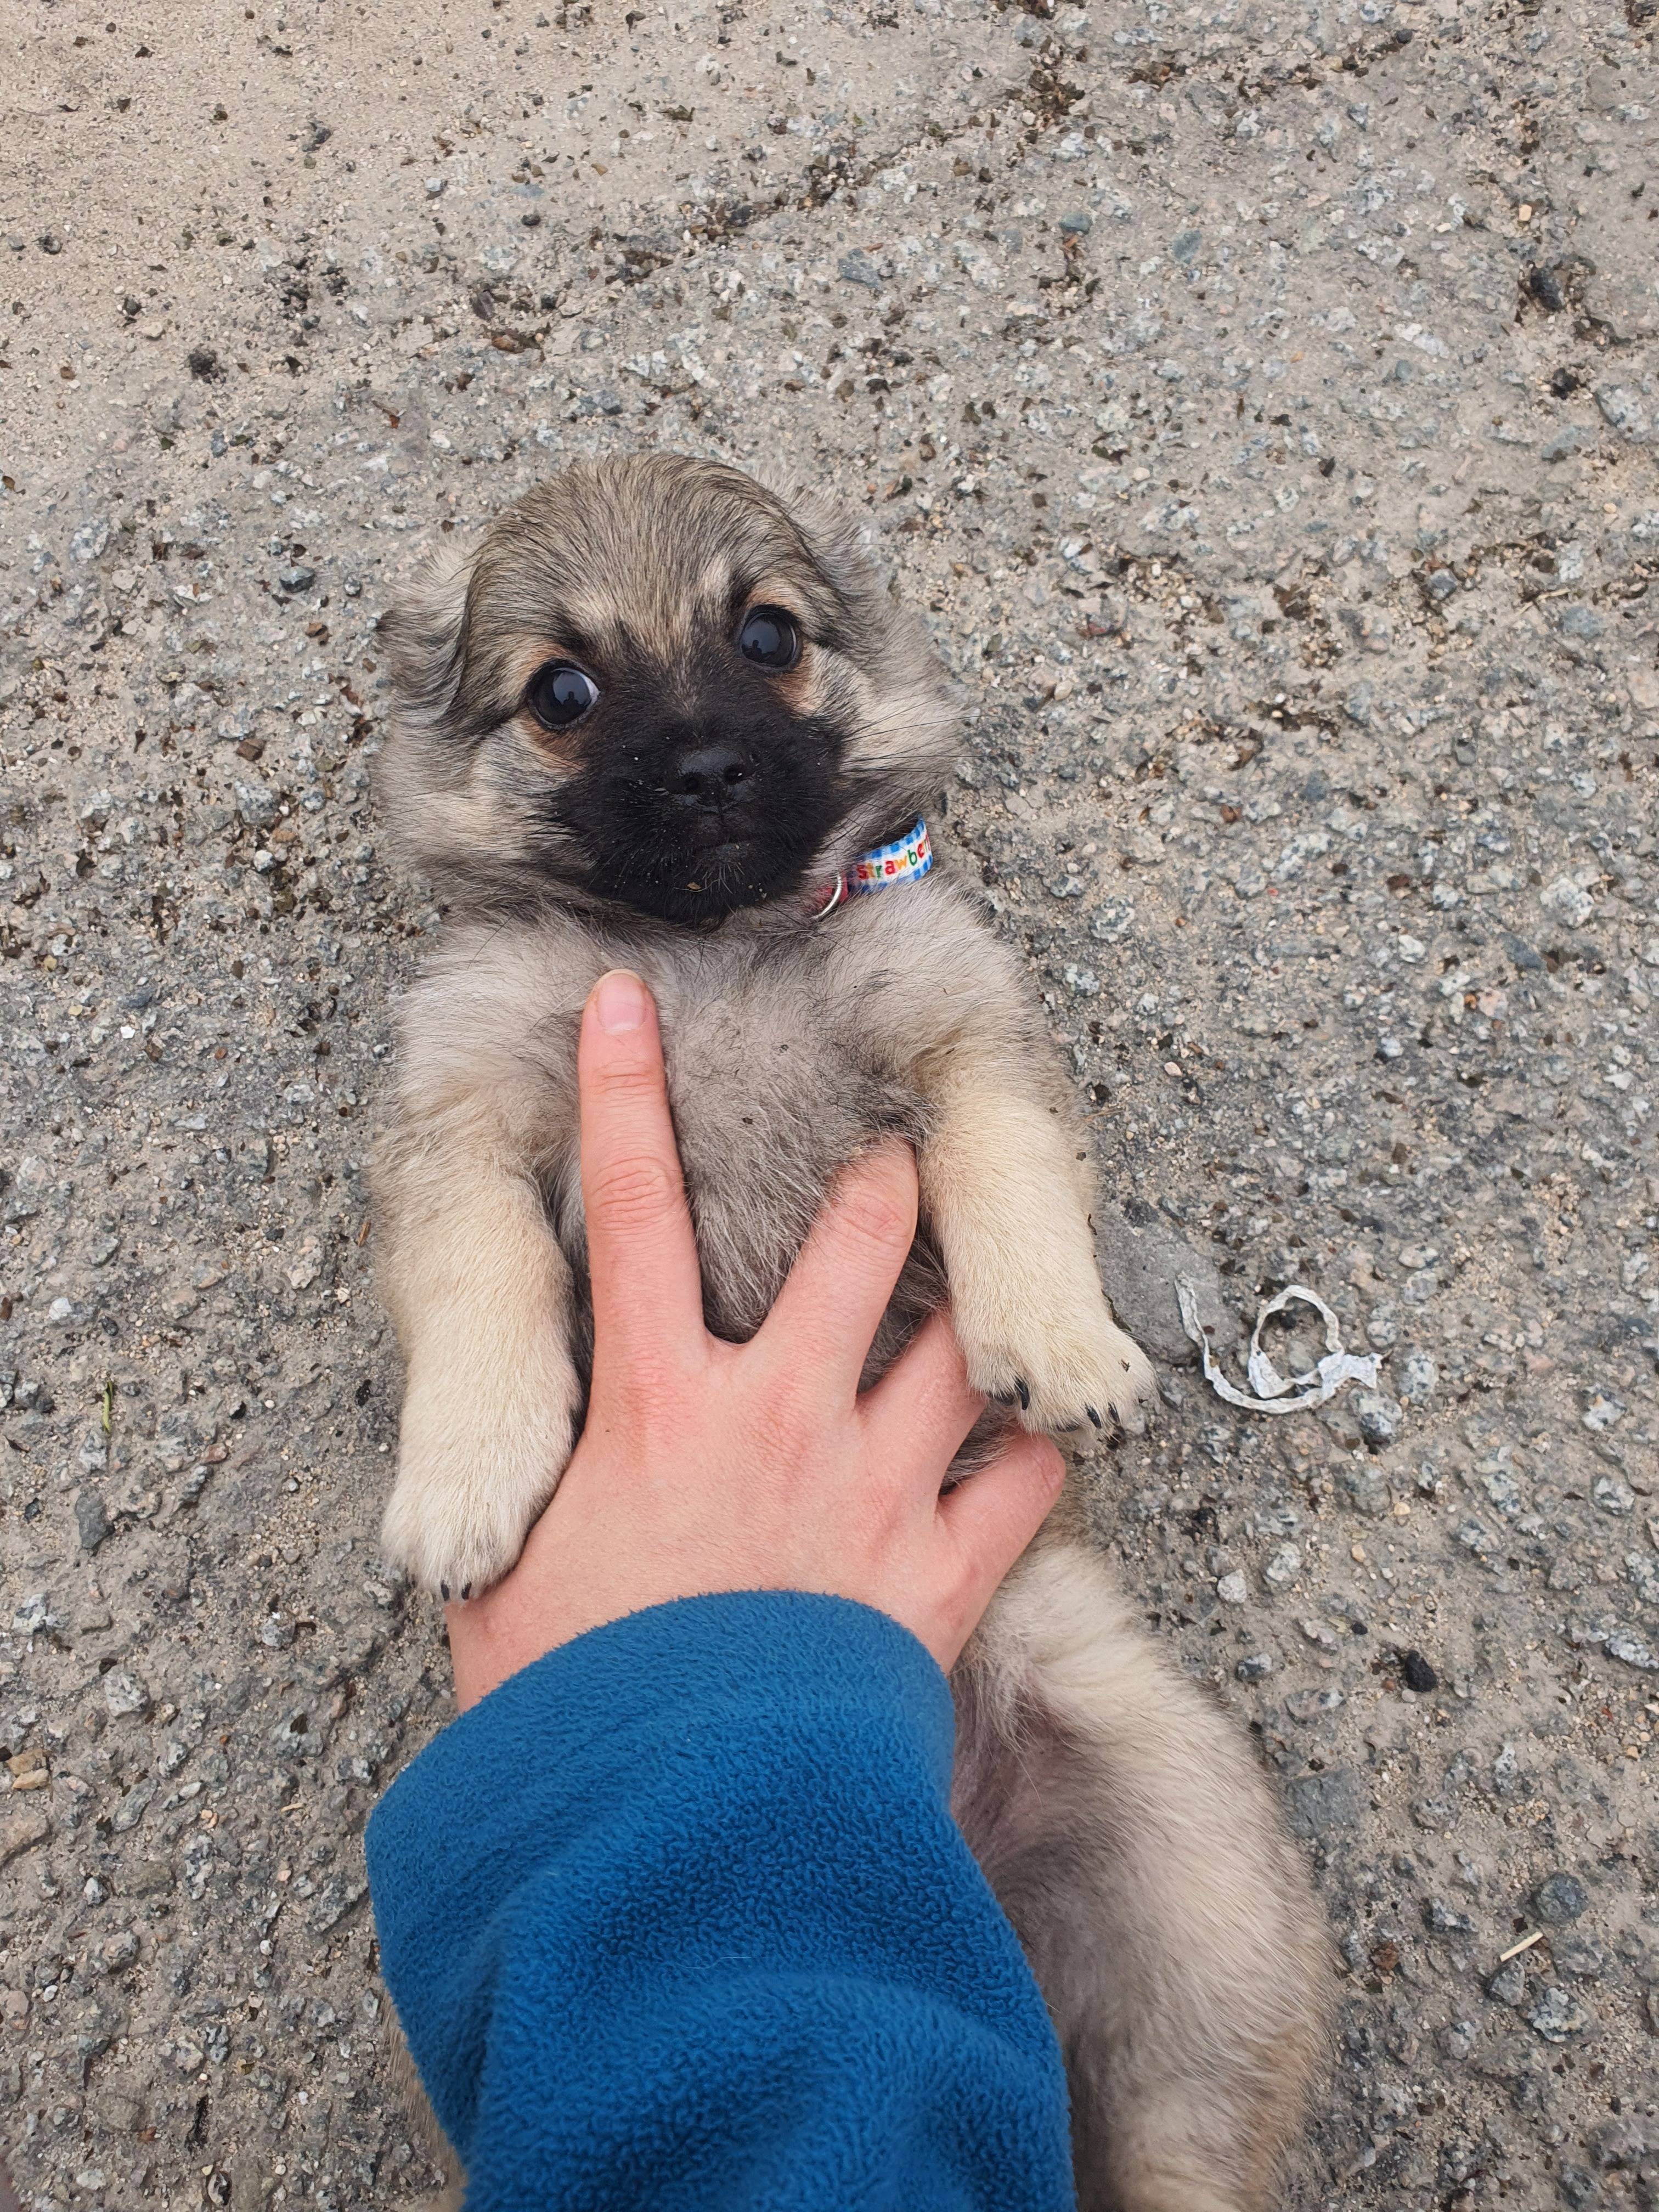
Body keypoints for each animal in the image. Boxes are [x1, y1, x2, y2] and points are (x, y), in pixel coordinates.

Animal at [374, 453, 1327, 2212]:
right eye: (561, 691)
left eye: (767, 633)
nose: (703, 766)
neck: (708, 945)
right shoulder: (463, 1124)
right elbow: (481, 1292)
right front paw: (466, 1478)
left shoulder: (967, 1039)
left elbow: (1011, 1177)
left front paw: (1063, 1342)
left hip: (1190, 1896)